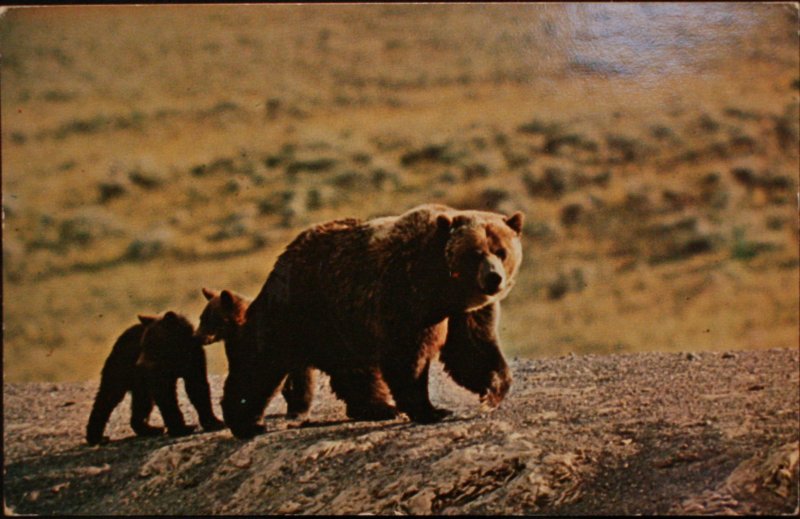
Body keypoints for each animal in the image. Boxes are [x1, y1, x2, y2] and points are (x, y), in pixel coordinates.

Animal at [85, 310, 223, 444]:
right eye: (143, 344)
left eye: (153, 344)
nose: (140, 364)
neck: (175, 358)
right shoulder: (158, 372)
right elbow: (166, 395)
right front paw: (181, 428)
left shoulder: (194, 359)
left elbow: (198, 388)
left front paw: (214, 422)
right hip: (120, 367)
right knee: (108, 395)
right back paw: (97, 437)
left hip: (139, 381)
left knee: (142, 401)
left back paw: (149, 429)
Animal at [222, 203, 528, 438]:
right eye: (476, 254)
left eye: (501, 251)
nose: (494, 278)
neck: (443, 288)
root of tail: (283, 258)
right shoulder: (405, 297)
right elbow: (408, 357)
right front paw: (431, 409)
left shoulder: (462, 312)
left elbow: (472, 348)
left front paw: (493, 390)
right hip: (300, 308)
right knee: (262, 363)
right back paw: (246, 423)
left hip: (341, 324)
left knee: (354, 368)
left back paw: (377, 407)